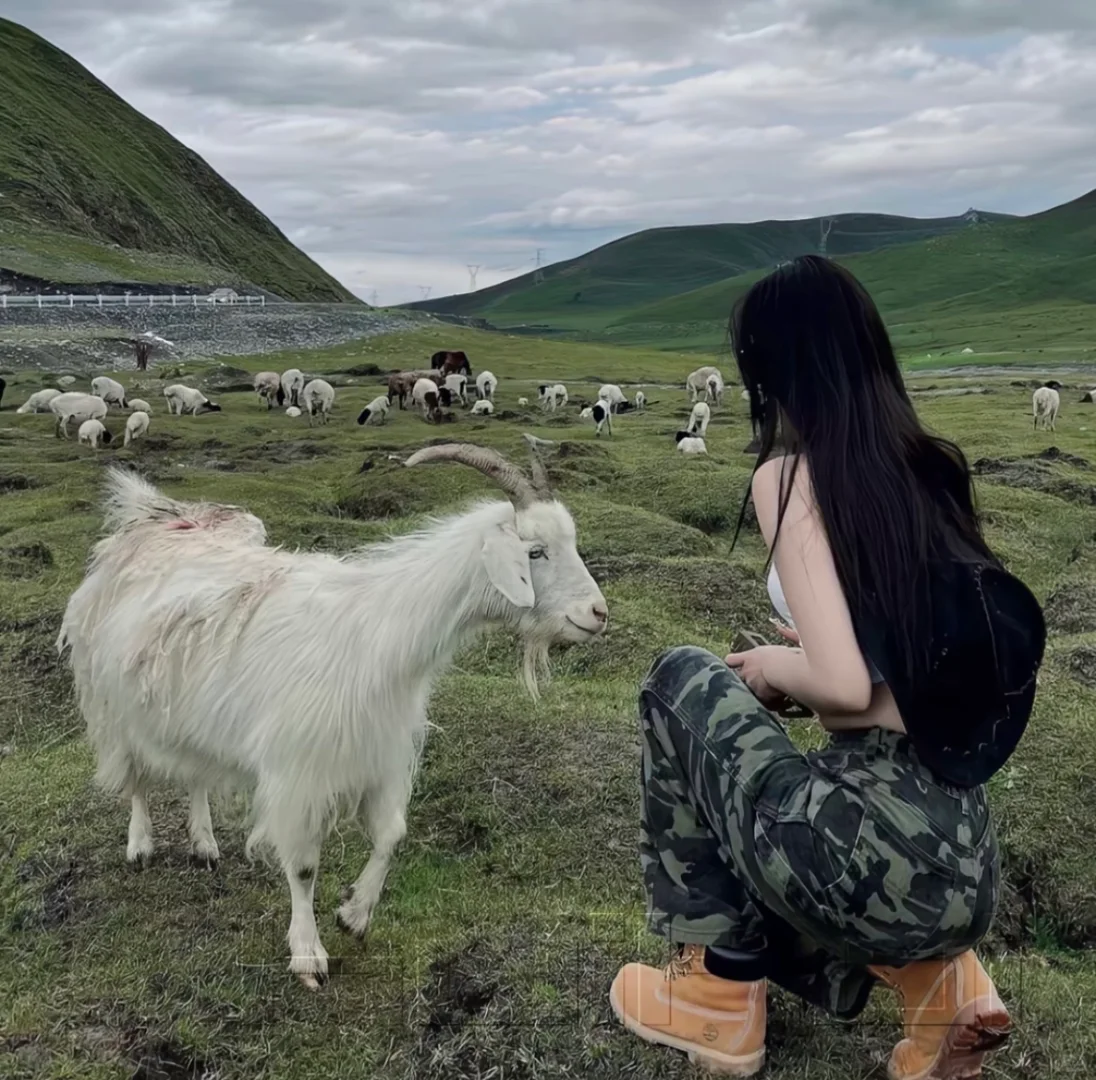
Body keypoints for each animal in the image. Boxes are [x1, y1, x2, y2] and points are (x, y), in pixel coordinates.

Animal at [57, 445, 609, 986]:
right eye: (535, 551)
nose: (598, 613)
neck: (376, 634)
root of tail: (152, 521)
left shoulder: (378, 755)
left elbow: (391, 836)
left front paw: (354, 914)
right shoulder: (300, 773)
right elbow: (303, 867)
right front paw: (308, 953)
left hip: (189, 715)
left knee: (195, 774)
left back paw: (205, 843)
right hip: (111, 703)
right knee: (135, 778)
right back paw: (141, 845)